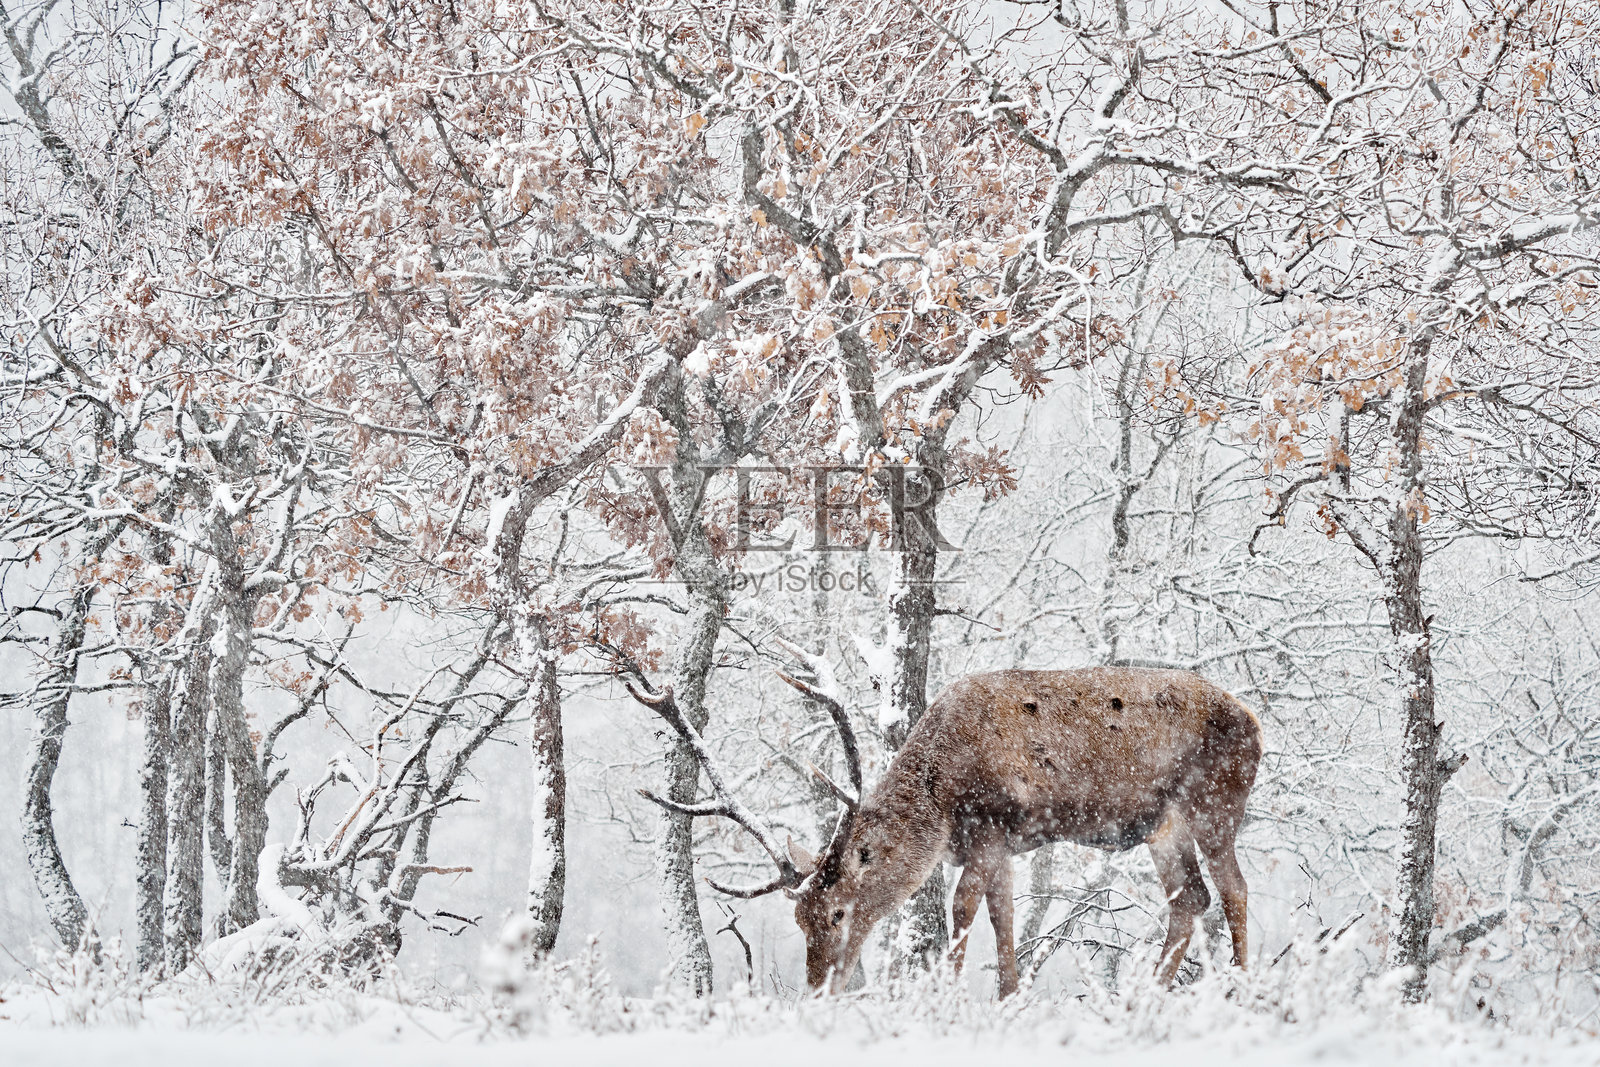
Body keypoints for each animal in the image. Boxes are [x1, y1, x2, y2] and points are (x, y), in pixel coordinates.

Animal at [628, 643, 1261, 998]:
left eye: (837, 912)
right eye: (799, 919)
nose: (819, 987)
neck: (942, 800)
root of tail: (1256, 723)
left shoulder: (988, 826)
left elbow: (963, 909)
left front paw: (946, 998)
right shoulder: (1001, 842)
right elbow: (1004, 918)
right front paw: (1007, 1001)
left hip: (1216, 802)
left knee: (1233, 888)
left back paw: (1241, 988)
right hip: (1162, 825)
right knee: (1192, 896)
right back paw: (1144, 998)